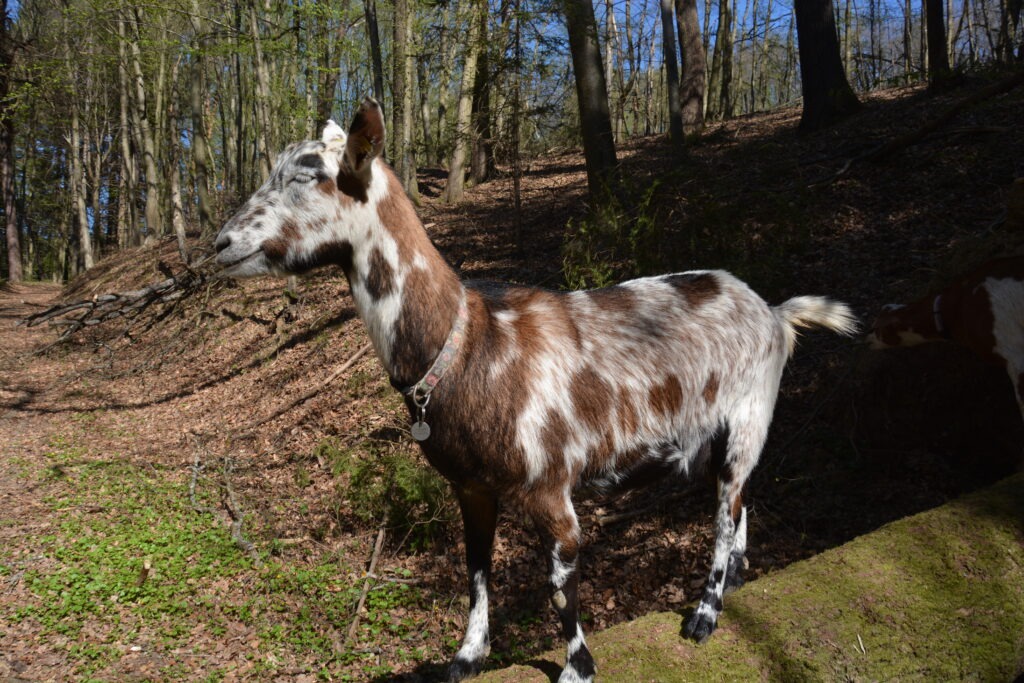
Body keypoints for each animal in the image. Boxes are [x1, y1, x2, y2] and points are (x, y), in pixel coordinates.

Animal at [213, 98, 858, 683]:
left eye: (309, 174)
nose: (221, 244)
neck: (469, 346)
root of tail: (775, 313)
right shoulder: (471, 487)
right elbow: (475, 569)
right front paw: (467, 658)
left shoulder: (551, 487)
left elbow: (558, 586)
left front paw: (578, 666)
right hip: (705, 440)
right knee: (739, 500)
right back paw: (739, 577)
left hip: (749, 416)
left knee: (724, 514)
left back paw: (705, 615)